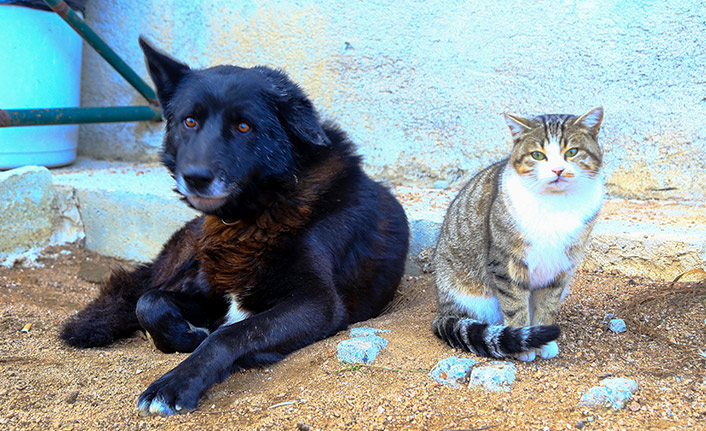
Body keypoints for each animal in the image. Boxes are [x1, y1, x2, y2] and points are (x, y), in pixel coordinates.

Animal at [59, 38, 408, 418]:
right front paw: (185, 336)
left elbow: (228, 335)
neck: (255, 214)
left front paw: (176, 382)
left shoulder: (319, 303)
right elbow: (149, 304)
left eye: (244, 127)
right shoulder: (212, 295)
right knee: (142, 292)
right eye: (190, 121)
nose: (195, 177)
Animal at [432, 107, 604, 362]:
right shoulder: (506, 262)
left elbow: (548, 304)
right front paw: (525, 345)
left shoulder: (561, 267)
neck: (556, 206)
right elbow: (515, 305)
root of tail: (442, 308)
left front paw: (545, 341)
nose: (558, 170)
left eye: (572, 152)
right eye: (538, 155)